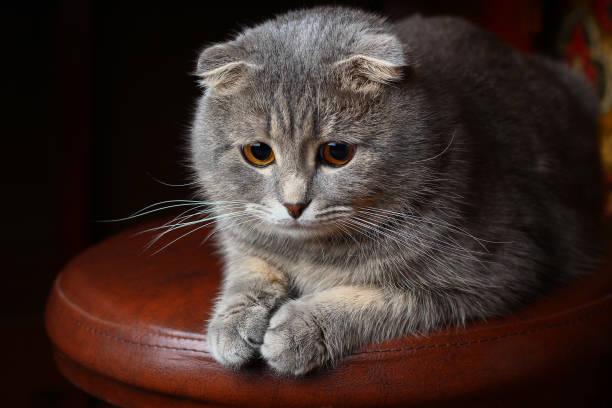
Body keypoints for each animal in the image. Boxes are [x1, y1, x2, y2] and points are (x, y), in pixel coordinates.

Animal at [190, 6, 604, 376]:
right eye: (258, 153)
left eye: (337, 152)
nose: (294, 205)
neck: (312, 255)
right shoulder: (242, 238)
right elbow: (249, 270)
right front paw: (232, 323)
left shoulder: (498, 272)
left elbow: (379, 299)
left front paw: (300, 328)